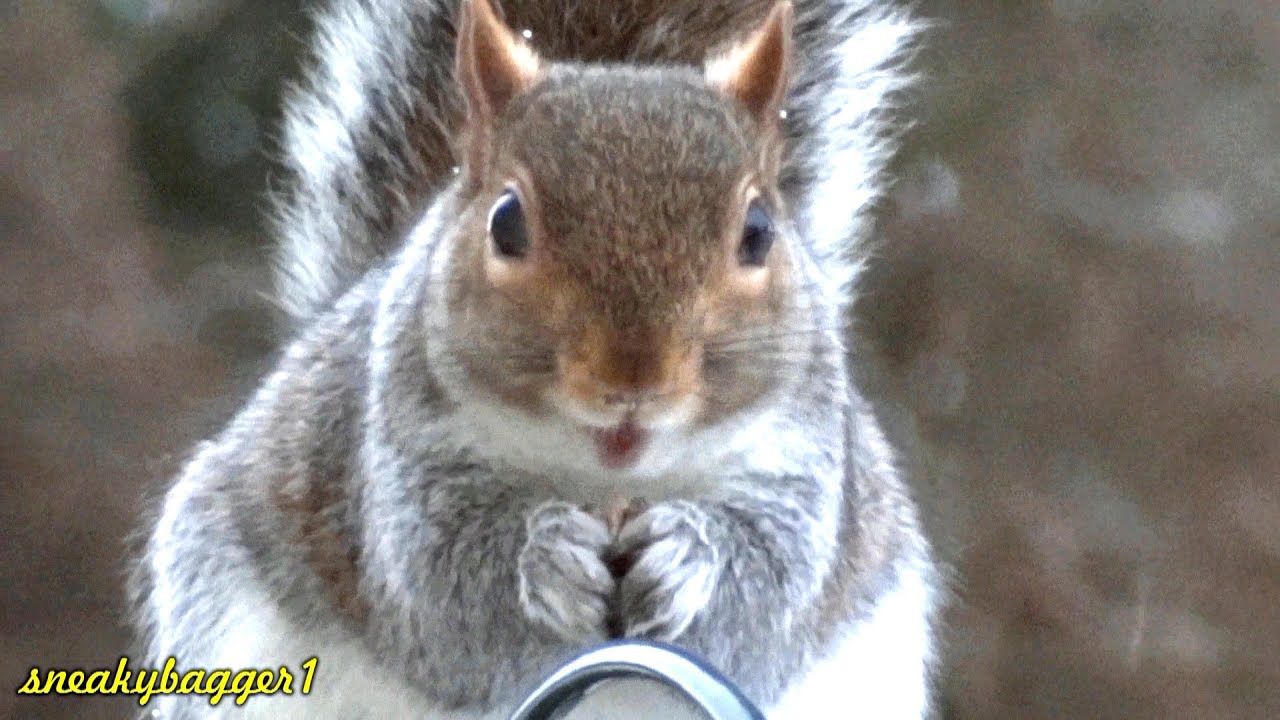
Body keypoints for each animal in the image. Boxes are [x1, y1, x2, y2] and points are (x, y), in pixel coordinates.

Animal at [131, 0, 939, 718]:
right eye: (506, 221)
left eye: (759, 231)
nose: (633, 378)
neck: (605, 480)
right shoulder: (394, 462)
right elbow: (445, 588)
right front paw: (544, 560)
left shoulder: (804, 462)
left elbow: (770, 589)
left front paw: (687, 557)